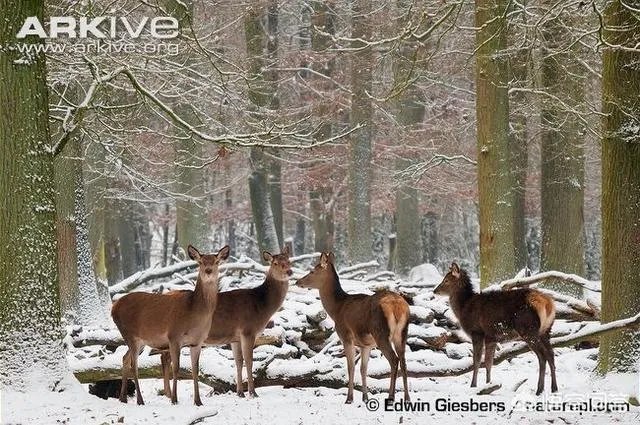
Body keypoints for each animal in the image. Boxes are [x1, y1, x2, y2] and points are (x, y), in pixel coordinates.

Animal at [111, 244, 229, 406]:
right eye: (200, 262)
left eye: (217, 262)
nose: (208, 271)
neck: (194, 313)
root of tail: (113, 308)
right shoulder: (174, 336)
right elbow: (176, 368)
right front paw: (174, 399)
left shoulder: (197, 342)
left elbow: (195, 370)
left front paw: (198, 401)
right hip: (129, 334)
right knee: (134, 365)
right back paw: (140, 400)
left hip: (140, 341)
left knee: (125, 358)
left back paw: (123, 398)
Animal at [158, 246, 293, 399]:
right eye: (275, 263)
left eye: (289, 261)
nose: (289, 271)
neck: (261, 306)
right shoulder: (248, 330)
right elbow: (249, 361)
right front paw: (253, 393)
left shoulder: (235, 338)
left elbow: (238, 361)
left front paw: (240, 392)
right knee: (165, 358)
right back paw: (169, 394)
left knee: (163, 357)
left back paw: (168, 393)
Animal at [296, 252, 411, 404]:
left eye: (312, 271)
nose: (298, 282)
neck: (336, 309)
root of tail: (397, 306)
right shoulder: (366, 345)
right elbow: (363, 369)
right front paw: (365, 398)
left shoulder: (346, 337)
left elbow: (350, 367)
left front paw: (349, 398)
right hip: (402, 334)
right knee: (404, 362)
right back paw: (407, 398)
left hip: (381, 334)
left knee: (394, 360)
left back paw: (391, 397)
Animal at [434, 262, 557, 395]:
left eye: (446, 280)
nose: (435, 290)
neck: (463, 308)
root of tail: (548, 304)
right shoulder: (492, 336)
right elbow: (489, 362)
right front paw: (489, 384)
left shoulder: (477, 332)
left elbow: (477, 361)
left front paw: (473, 385)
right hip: (546, 330)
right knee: (551, 354)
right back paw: (554, 388)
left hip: (528, 329)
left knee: (542, 356)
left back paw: (539, 389)